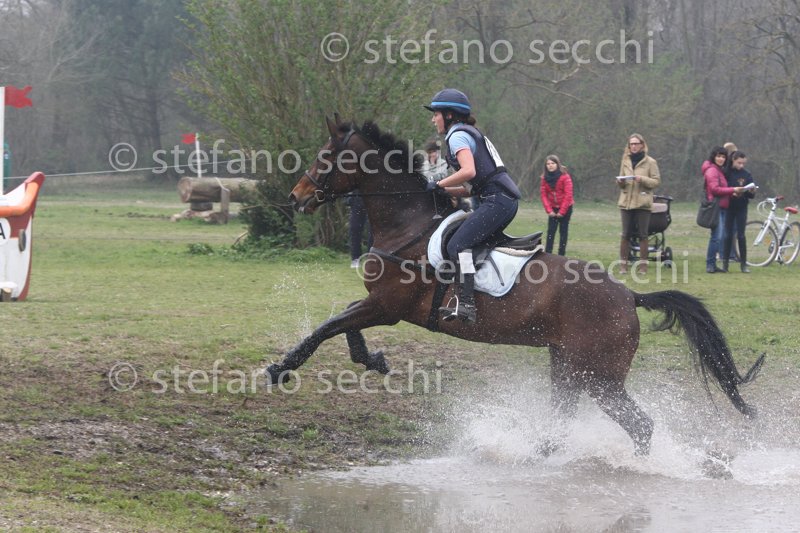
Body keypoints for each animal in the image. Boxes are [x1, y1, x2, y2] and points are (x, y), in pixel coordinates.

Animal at [267, 115, 765, 455]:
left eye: (326, 158)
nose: (296, 196)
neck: (406, 228)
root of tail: (629, 295)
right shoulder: (379, 304)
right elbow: (345, 325)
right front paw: (373, 359)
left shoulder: (388, 306)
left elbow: (328, 326)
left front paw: (280, 369)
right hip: (569, 366)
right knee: (572, 418)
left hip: (598, 375)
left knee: (639, 424)